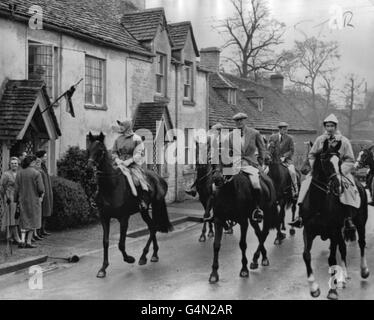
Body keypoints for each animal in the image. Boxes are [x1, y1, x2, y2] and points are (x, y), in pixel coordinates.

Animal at [87, 132, 173, 278]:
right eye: (88, 149)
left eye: (100, 151)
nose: (88, 168)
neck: (112, 186)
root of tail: (158, 178)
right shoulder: (104, 218)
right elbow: (105, 242)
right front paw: (103, 268)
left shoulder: (123, 219)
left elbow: (121, 244)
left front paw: (129, 259)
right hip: (144, 211)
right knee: (152, 227)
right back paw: (153, 254)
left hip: (151, 206)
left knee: (153, 227)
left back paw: (143, 256)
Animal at [300, 139, 368, 300]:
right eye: (324, 160)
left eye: (340, 161)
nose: (339, 186)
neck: (318, 205)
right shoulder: (308, 231)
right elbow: (306, 255)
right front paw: (314, 288)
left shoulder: (333, 232)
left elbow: (331, 259)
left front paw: (332, 290)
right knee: (343, 248)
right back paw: (343, 276)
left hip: (360, 222)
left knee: (362, 243)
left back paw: (364, 270)